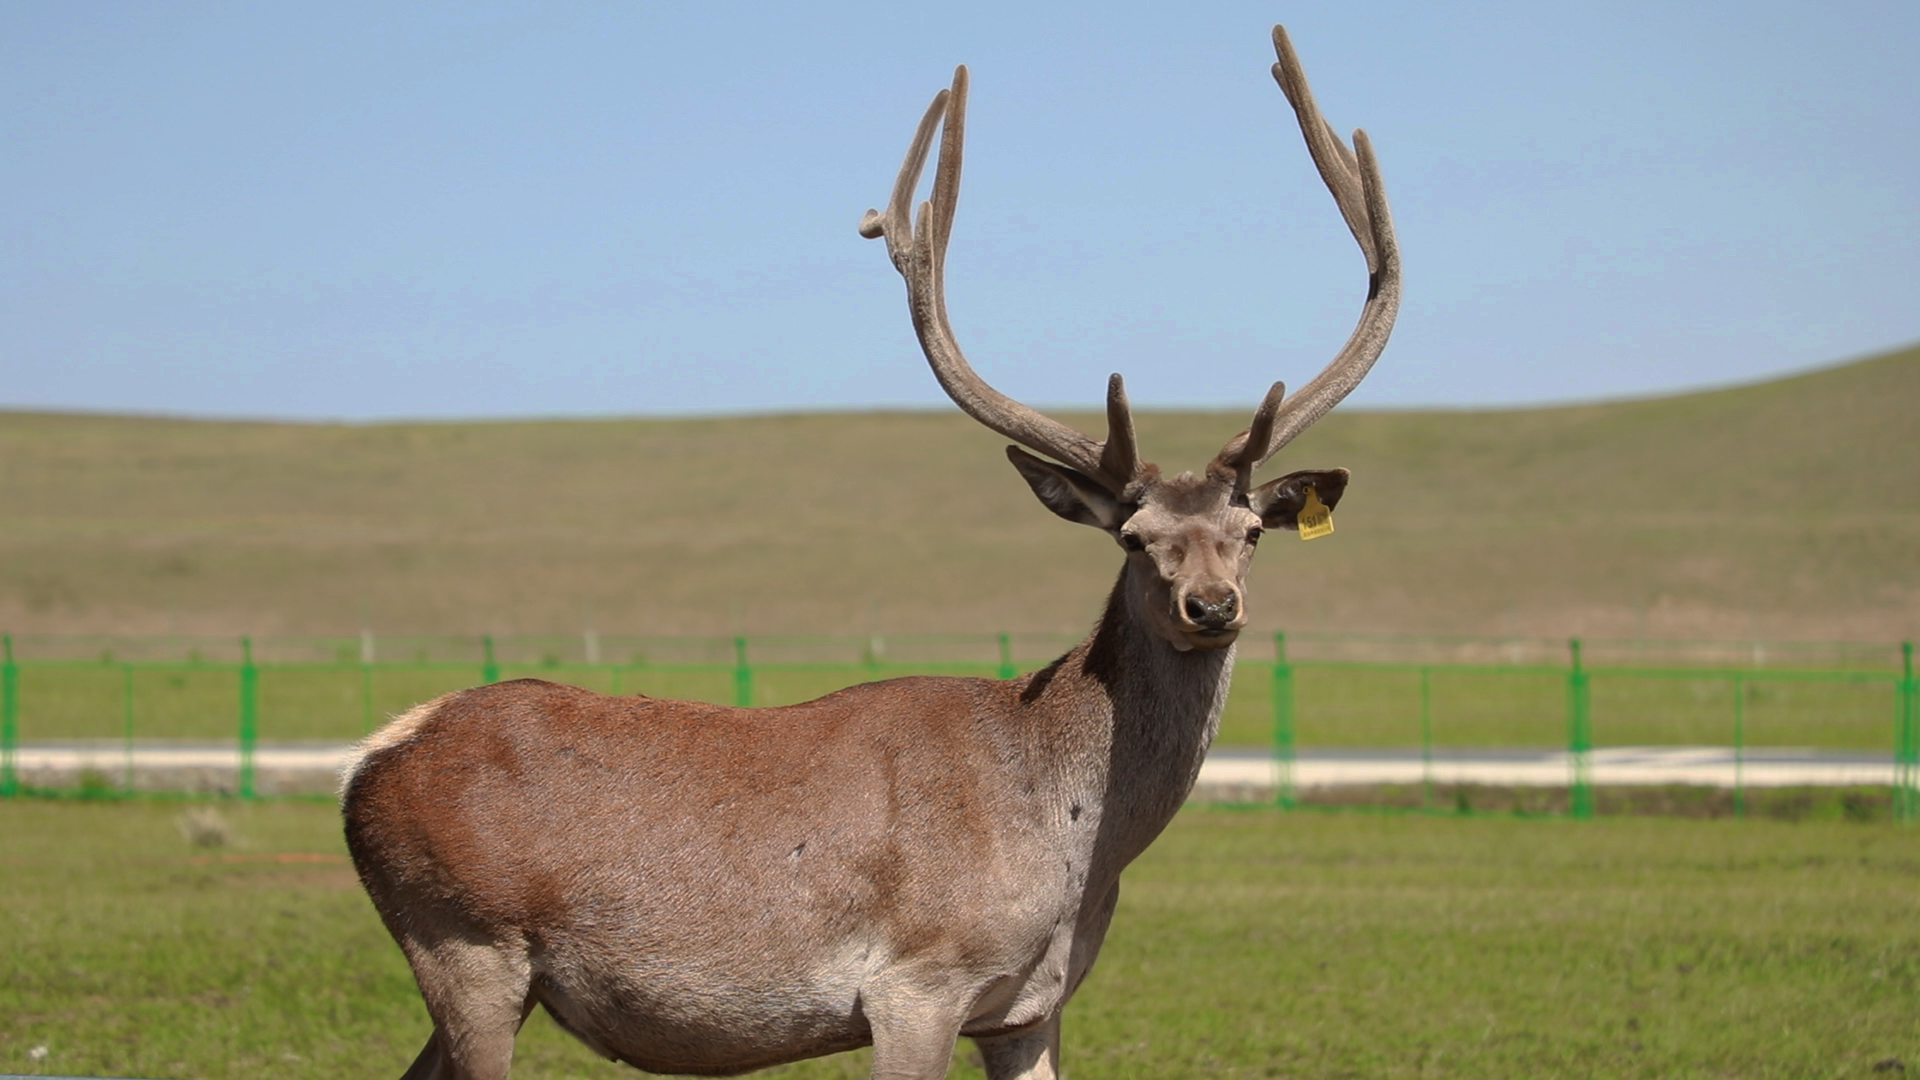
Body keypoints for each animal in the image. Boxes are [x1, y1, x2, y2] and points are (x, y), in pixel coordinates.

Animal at [341, 25, 1397, 1076]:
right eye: (1136, 540)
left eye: (1250, 533)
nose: (1211, 607)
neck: (1069, 854)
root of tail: (370, 761)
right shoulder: (915, 983)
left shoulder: (1030, 1008)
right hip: (466, 941)